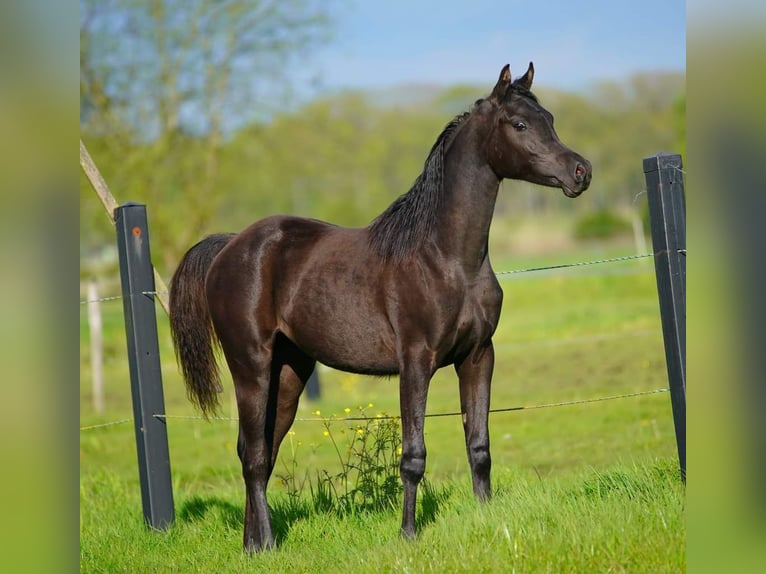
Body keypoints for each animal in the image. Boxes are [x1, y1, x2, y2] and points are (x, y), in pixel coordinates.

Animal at [171, 63, 592, 552]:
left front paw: (487, 519)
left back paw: (251, 545)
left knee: (260, 448)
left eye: (550, 120)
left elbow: (479, 446)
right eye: (520, 124)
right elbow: (413, 456)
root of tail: (229, 246)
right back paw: (270, 545)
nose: (580, 172)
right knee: (255, 456)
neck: (446, 258)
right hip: (251, 366)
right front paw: (408, 533)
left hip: (290, 371)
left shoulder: (477, 357)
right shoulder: (415, 362)